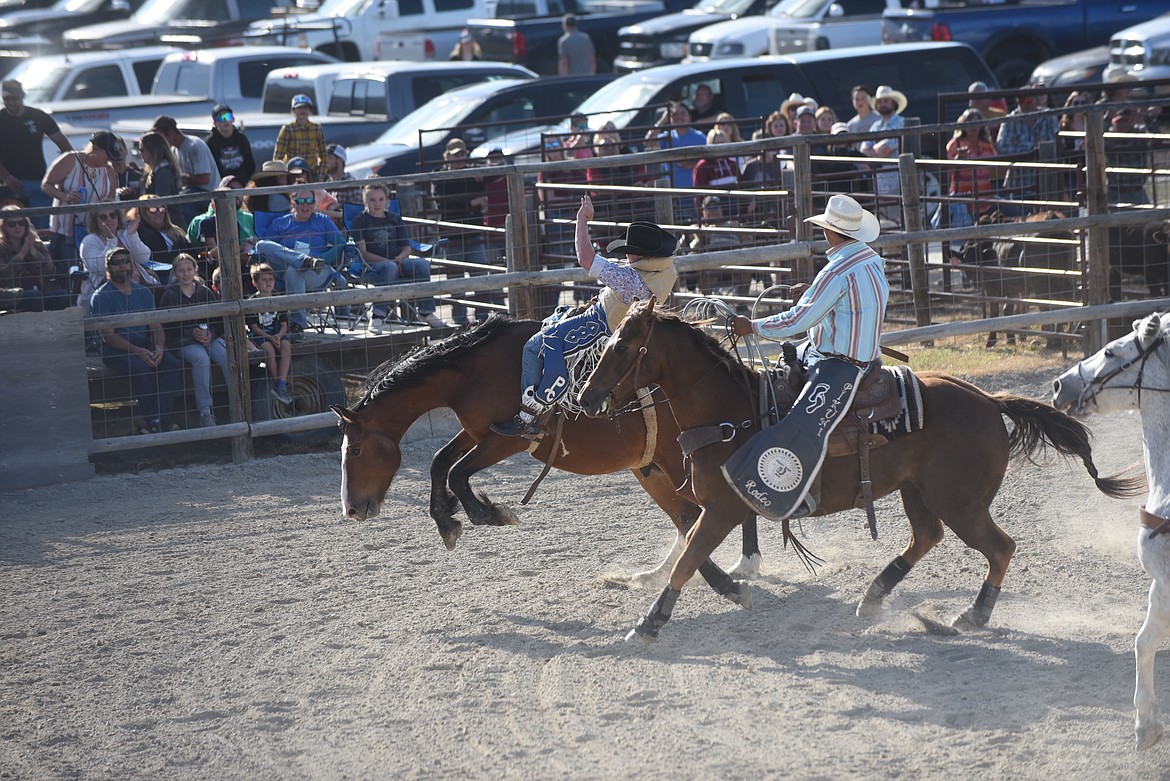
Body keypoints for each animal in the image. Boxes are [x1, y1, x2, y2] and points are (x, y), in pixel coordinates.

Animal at [332, 313, 767, 589]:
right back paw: (658, 575)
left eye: (355, 450)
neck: (475, 370)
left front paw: (490, 514)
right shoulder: (476, 432)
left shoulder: (509, 438)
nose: (351, 509)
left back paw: (744, 565)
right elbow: (441, 463)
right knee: (688, 518)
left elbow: (456, 472)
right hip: (653, 469)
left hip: (681, 465)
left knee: (717, 508)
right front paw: (448, 523)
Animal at [577, 299, 1141, 640]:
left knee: (999, 547)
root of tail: (987, 400)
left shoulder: (722, 507)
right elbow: (691, 554)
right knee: (927, 537)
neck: (730, 411)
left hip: (960, 501)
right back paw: (874, 597)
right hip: (919, 492)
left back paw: (971, 614)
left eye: (623, 345)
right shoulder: (716, 507)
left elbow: (688, 557)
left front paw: (650, 623)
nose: (586, 397)